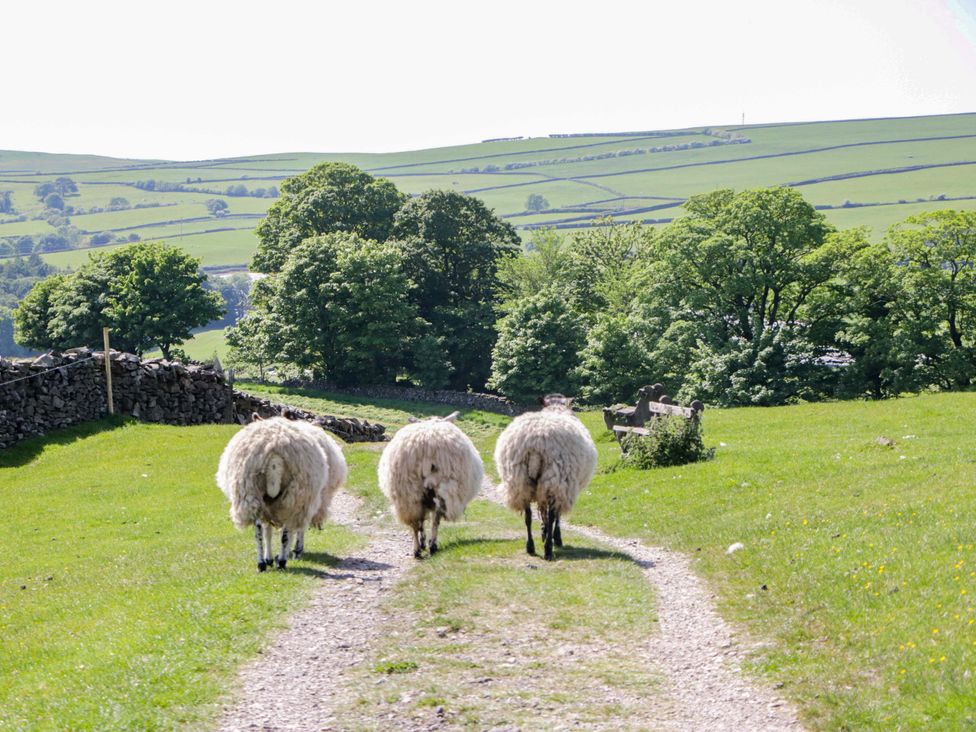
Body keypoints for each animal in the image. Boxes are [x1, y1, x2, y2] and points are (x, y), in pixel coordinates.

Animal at [216, 416, 334, 571]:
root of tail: (274, 455)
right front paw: (280, 556)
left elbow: (267, 530)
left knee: (258, 531)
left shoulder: (267, 504)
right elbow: (277, 530)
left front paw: (269, 558)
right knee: (287, 532)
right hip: (295, 496)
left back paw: (261, 563)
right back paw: (283, 560)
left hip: (250, 490)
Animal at [378, 411, 484, 558]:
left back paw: (417, 549)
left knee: (415, 522)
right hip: (442, 488)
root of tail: (427, 446)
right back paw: (431, 545)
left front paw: (423, 542)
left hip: (408, 492)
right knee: (435, 519)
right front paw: (426, 542)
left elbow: (422, 521)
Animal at [494, 394, 598, 561]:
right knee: (552, 515)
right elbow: (554, 515)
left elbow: (541, 511)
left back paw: (530, 546)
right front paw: (554, 536)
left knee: (528, 516)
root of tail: (535, 443)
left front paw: (543, 532)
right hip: (555, 478)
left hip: (520, 480)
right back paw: (548, 549)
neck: (556, 408)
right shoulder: (562, 486)